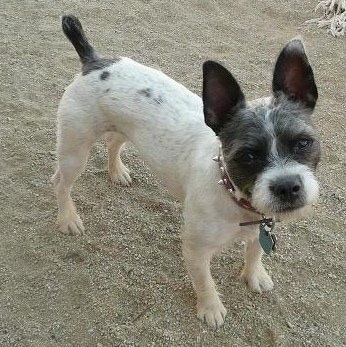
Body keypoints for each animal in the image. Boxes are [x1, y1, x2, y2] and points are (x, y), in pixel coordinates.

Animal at [52, 15, 320, 328]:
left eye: (303, 143)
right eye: (248, 156)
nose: (287, 186)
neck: (232, 193)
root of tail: (94, 60)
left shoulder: (261, 226)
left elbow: (255, 252)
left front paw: (254, 275)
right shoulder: (196, 249)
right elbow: (204, 281)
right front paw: (211, 307)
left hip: (123, 130)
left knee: (113, 142)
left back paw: (116, 171)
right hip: (75, 151)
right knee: (60, 183)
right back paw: (68, 218)